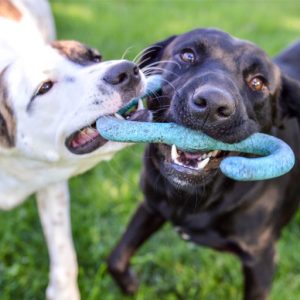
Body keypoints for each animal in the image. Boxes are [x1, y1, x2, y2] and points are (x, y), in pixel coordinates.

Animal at [107, 28, 300, 300]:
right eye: (187, 55)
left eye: (258, 82)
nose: (212, 104)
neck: (194, 199)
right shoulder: (151, 205)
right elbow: (116, 258)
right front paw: (132, 286)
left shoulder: (261, 258)